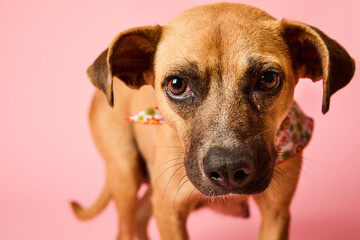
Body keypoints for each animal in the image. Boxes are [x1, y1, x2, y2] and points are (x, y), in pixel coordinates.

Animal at [71, 2, 356, 240]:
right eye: (177, 84)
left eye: (268, 79)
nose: (228, 169)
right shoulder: (169, 211)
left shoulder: (276, 213)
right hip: (126, 175)